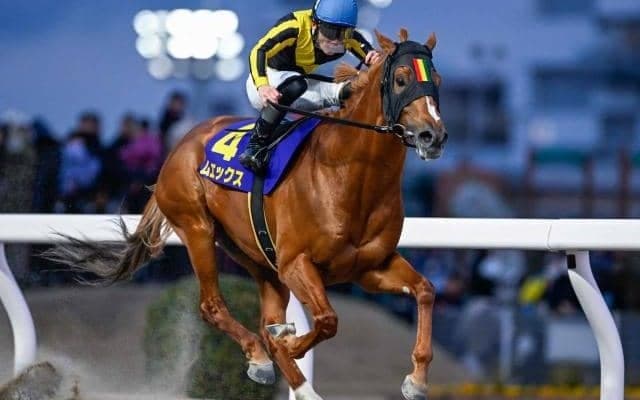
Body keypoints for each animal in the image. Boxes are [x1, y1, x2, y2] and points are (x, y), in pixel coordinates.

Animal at [49, 29, 447, 400]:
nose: (433, 136)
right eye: (401, 79)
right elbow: (327, 320)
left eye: (438, 81)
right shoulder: (296, 263)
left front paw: (416, 380)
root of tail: (183, 143)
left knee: (264, 316)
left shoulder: (369, 267)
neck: (350, 174)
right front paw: (288, 345)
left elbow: (425, 291)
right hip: (198, 229)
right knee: (212, 306)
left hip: (256, 258)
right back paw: (267, 361)